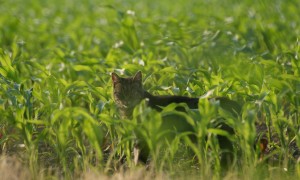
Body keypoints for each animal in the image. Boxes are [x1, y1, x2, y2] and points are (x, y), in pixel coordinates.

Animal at [111, 71, 240, 166]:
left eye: (133, 93)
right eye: (121, 93)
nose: (126, 102)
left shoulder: (145, 137)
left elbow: (140, 160)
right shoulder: (138, 137)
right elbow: (136, 157)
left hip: (219, 136)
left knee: (230, 155)